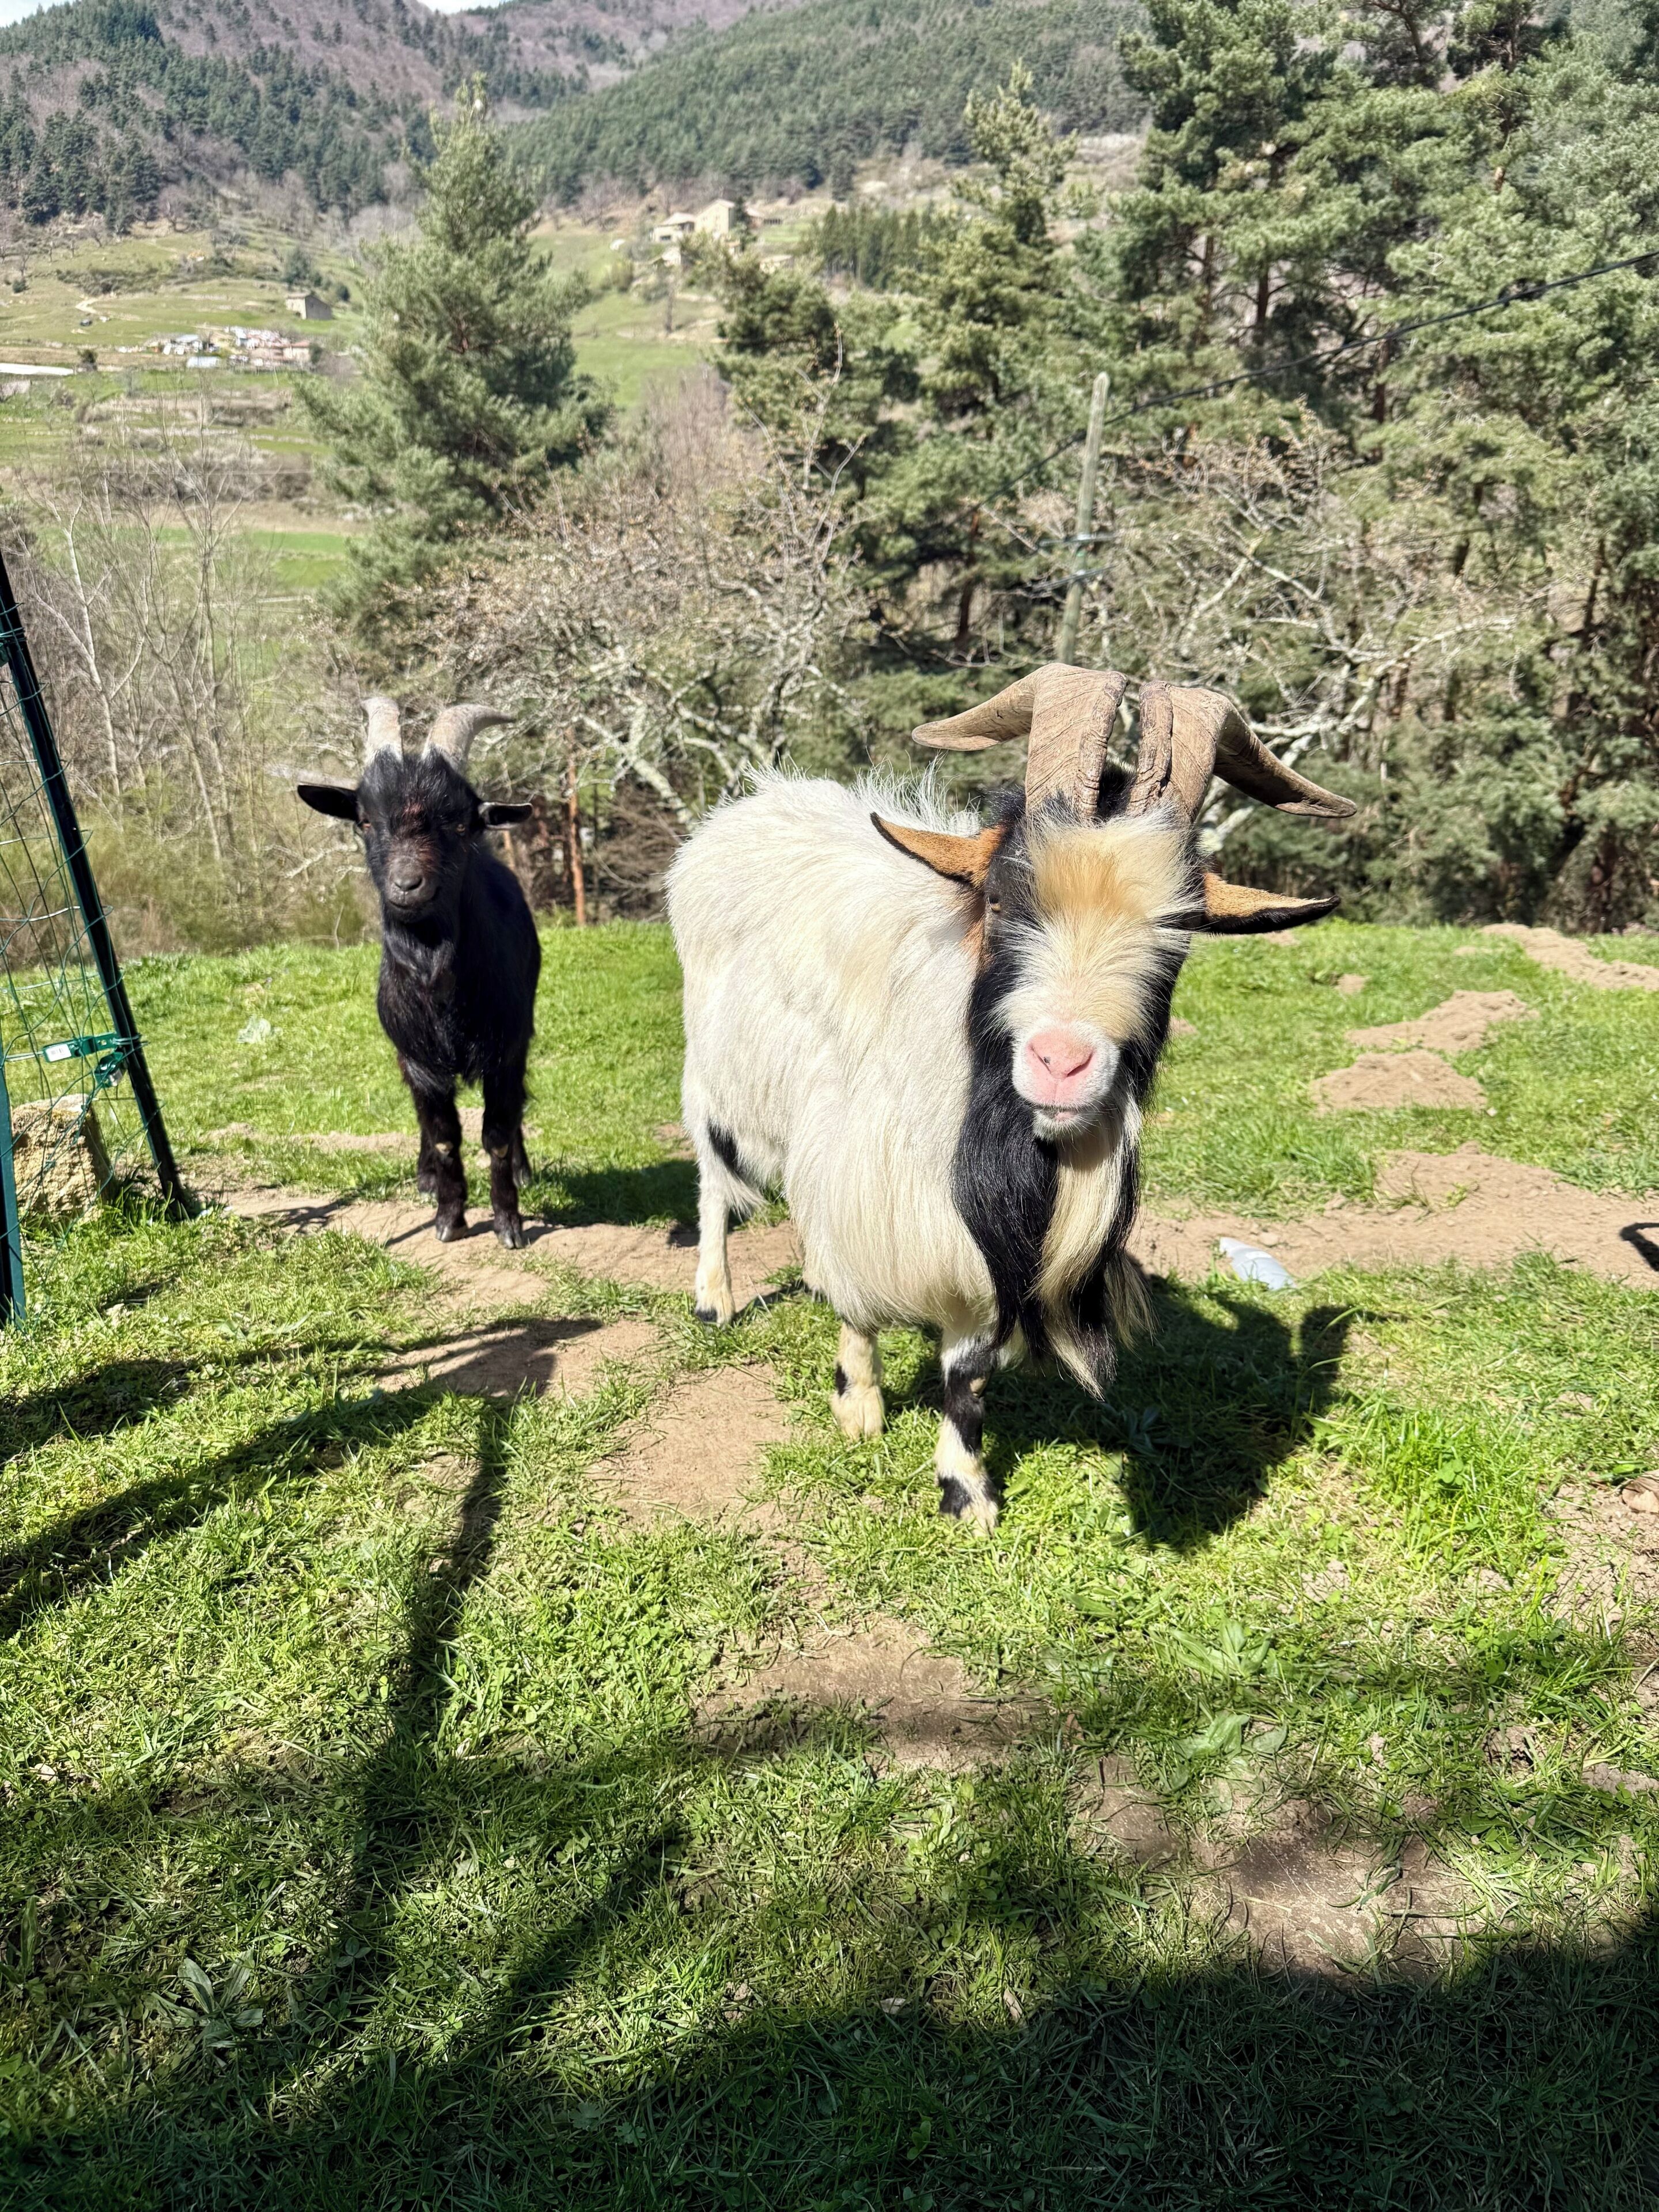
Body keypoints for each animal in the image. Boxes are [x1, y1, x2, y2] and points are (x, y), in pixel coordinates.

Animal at [296, 697, 541, 1248]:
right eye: (365, 820)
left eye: (460, 824)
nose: (407, 885)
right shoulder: (418, 1057)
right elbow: (445, 1135)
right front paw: (449, 1217)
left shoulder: (506, 1047)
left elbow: (497, 1133)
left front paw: (508, 1223)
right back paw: (426, 1176)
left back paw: (522, 1170)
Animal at [667, 666, 1354, 1529]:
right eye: (999, 900)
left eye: (1179, 935)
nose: (1063, 1062)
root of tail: (756, 804)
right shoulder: (862, 1179)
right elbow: (858, 1304)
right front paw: (858, 1408)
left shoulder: (994, 1253)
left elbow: (968, 1368)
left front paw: (966, 1491)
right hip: (715, 1080)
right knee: (713, 1188)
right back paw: (714, 1299)